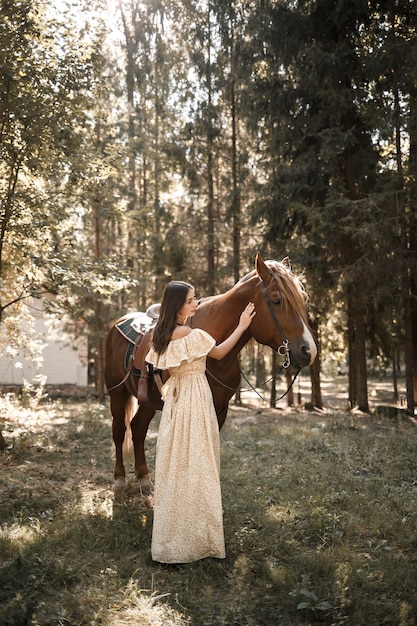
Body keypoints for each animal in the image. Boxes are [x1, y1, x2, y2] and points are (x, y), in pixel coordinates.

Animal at [103, 251, 316, 490]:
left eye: (301, 300)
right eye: (276, 301)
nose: (309, 350)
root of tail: (118, 322)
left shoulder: (220, 409)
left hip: (148, 401)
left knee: (138, 429)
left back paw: (144, 479)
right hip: (117, 393)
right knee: (119, 431)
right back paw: (120, 479)